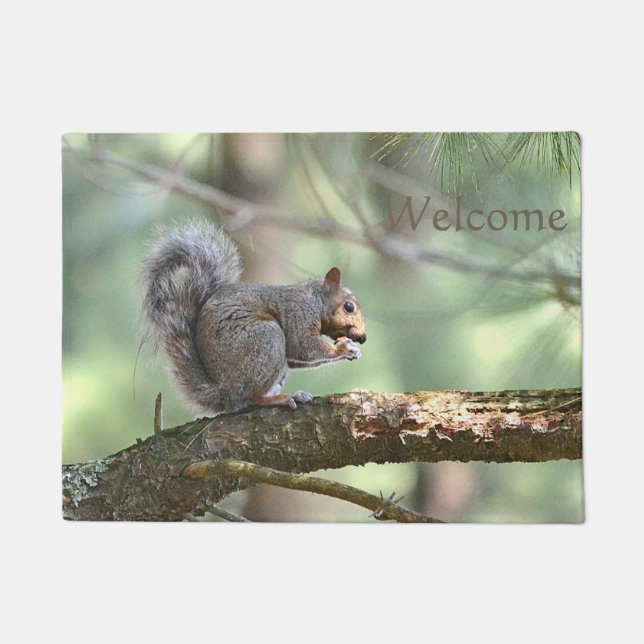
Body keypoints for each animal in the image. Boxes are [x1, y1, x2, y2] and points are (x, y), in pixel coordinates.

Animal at [142, 221, 367, 414]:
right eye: (349, 307)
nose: (363, 338)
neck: (316, 300)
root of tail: (224, 393)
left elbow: (296, 357)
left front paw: (352, 351)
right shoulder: (298, 313)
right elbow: (302, 346)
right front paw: (343, 349)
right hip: (267, 340)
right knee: (251, 399)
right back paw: (281, 398)